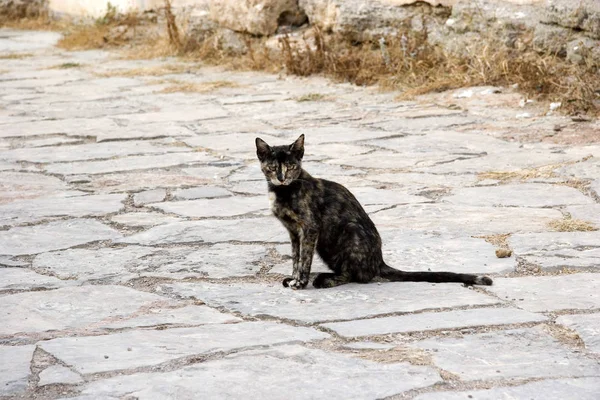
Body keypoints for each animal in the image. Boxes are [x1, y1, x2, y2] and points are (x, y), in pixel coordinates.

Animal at [255, 135, 494, 290]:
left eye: (291, 167)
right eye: (272, 167)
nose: (282, 178)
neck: (283, 192)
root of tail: (379, 260)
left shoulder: (309, 228)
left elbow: (304, 259)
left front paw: (300, 282)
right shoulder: (294, 232)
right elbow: (296, 257)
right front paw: (293, 277)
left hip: (347, 231)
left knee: (358, 275)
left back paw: (325, 280)